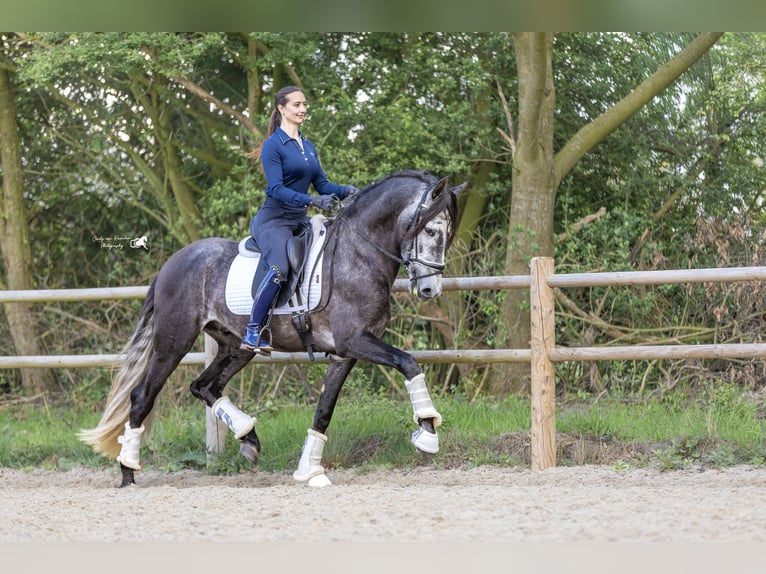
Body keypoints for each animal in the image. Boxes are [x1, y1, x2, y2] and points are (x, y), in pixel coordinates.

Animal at [79, 170, 467, 487]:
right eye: (431, 229)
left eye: (448, 233)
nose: (430, 290)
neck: (358, 253)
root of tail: (172, 263)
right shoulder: (355, 341)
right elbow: (408, 362)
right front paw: (427, 432)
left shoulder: (345, 352)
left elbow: (324, 410)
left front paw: (310, 470)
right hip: (173, 342)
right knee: (143, 395)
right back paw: (128, 470)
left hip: (236, 346)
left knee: (204, 386)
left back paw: (249, 439)